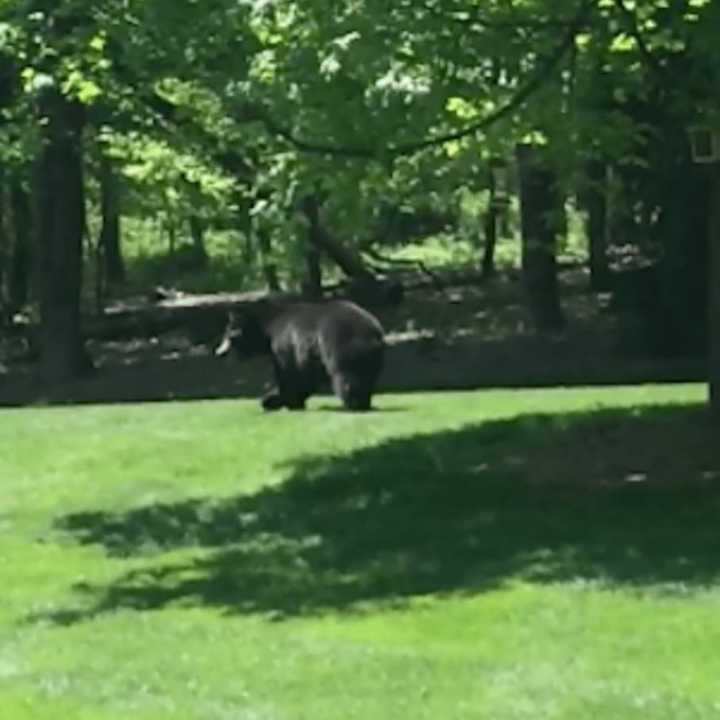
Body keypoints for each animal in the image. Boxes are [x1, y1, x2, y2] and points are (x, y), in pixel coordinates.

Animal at [217, 298, 386, 410]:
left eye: (229, 335)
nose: (220, 353)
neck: (268, 329)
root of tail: (374, 332)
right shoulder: (307, 354)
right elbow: (305, 376)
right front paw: (279, 399)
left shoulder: (284, 342)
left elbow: (288, 373)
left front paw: (278, 400)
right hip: (371, 358)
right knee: (367, 377)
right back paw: (364, 401)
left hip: (341, 346)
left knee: (346, 376)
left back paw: (353, 403)